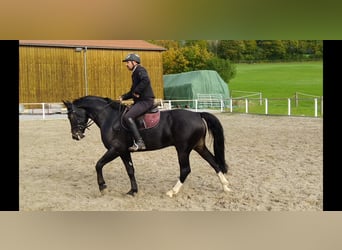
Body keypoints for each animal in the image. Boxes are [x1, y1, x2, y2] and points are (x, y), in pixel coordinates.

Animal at [62, 95, 231, 197]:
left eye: (71, 115)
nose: (75, 136)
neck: (109, 118)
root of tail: (197, 114)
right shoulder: (124, 151)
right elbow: (130, 170)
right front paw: (133, 191)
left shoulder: (115, 149)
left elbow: (98, 164)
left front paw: (103, 187)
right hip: (198, 146)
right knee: (214, 163)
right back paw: (225, 187)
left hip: (183, 149)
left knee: (185, 169)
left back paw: (172, 191)